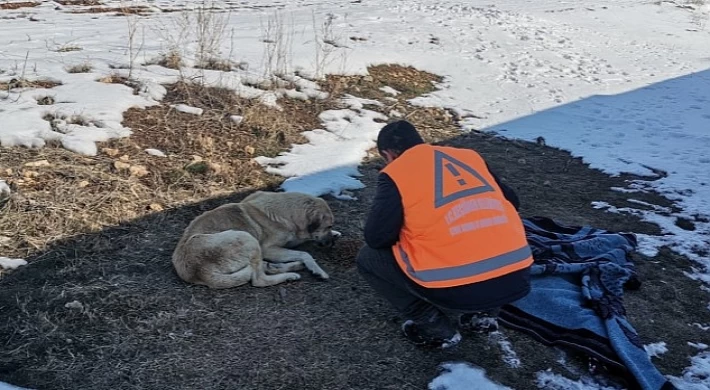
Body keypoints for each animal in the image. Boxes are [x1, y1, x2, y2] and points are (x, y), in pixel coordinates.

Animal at [171, 190, 340, 288]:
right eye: (328, 226)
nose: (331, 244)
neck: (287, 212)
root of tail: (198, 271)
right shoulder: (269, 249)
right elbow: (306, 254)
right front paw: (317, 270)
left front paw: (336, 233)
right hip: (248, 238)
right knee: (259, 280)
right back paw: (290, 275)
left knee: (266, 268)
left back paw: (294, 267)